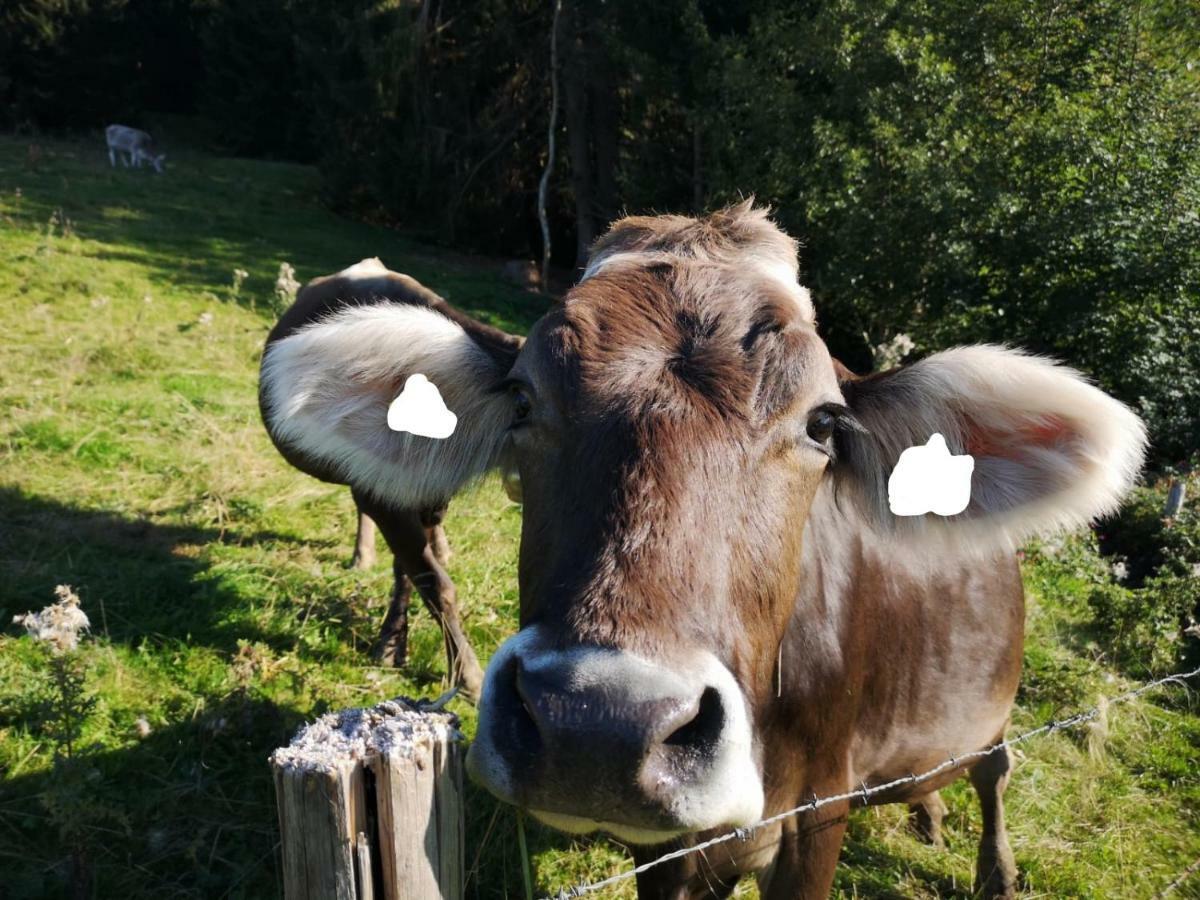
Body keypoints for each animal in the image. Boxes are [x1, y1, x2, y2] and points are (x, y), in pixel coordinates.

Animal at [260, 207, 1142, 897]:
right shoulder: (668, 849)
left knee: (994, 768)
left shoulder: (818, 814)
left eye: (823, 422)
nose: (597, 724)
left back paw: (996, 868)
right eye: (522, 398)